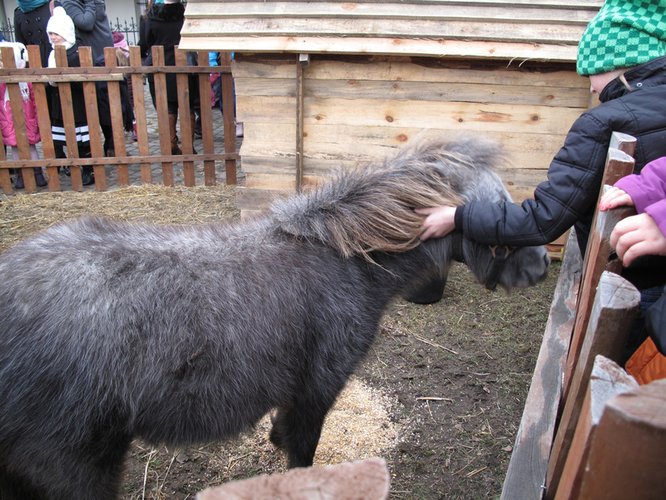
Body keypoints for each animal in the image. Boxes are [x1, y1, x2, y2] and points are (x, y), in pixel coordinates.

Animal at [0, 137, 544, 500]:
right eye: (498, 206)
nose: (539, 266)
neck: (345, 261)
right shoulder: (314, 392)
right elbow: (302, 455)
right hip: (77, 464)